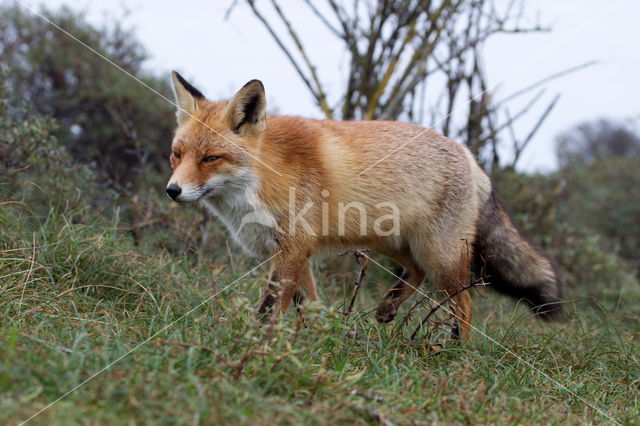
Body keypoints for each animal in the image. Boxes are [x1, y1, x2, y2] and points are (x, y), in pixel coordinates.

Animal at [168, 72, 564, 340]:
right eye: (177, 154)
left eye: (211, 158)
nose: (173, 190)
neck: (262, 178)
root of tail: (470, 156)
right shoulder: (295, 252)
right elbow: (309, 305)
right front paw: (312, 340)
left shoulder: (293, 248)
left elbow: (268, 310)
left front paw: (253, 345)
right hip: (393, 242)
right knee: (415, 273)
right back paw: (388, 308)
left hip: (441, 256)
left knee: (465, 305)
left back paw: (455, 353)